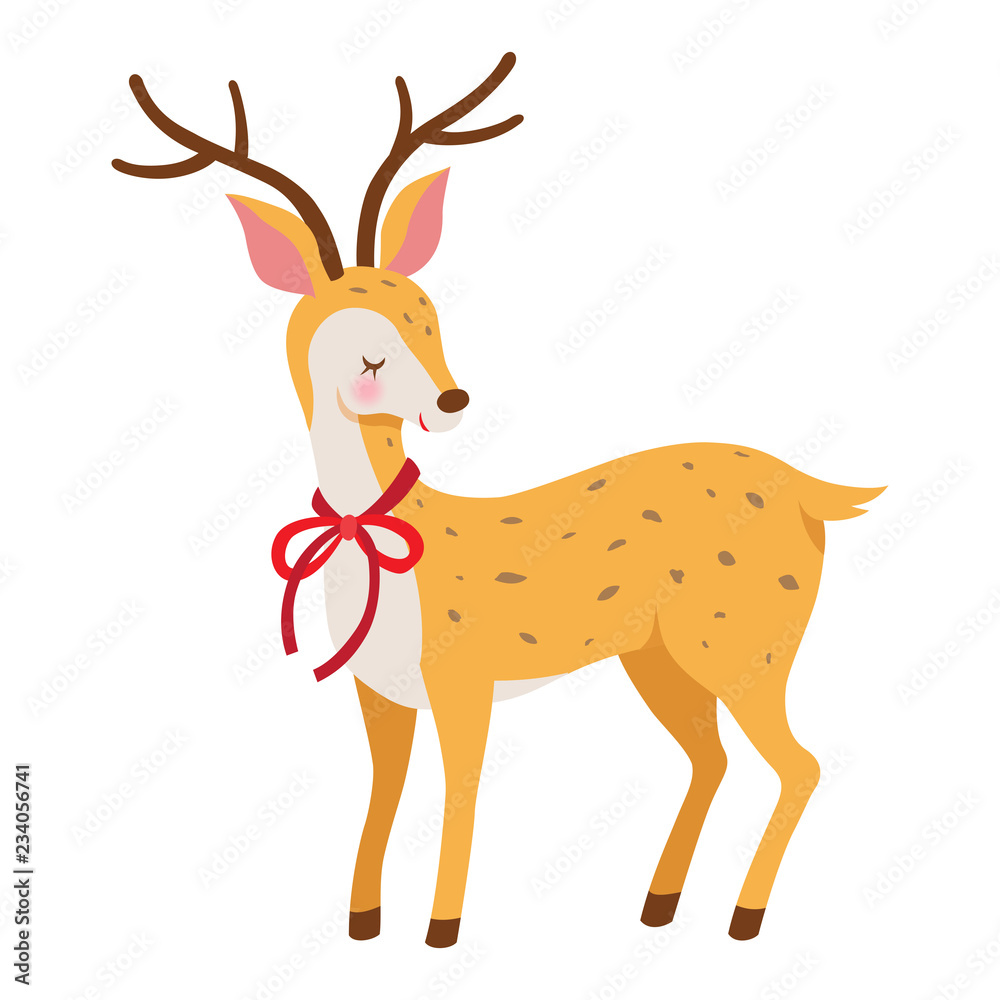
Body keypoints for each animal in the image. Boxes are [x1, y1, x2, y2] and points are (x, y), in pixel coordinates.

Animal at [112, 53, 884, 949]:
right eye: (370, 352)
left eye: (428, 315)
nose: (452, 400)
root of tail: (815, 492)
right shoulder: (379, 690)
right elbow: (382, 795)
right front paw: (363, 921)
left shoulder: (463, 677)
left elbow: (461, 791)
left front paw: (441, 929)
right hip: (658, 656)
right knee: (714, 758)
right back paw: (657, 906)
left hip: (743, 645)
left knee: (801, 764)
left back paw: (744, 918)